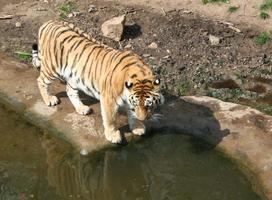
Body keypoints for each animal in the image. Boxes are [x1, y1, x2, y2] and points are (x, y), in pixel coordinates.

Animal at [31, 20, 164, 143]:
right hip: (52, 68)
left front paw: (137, 126)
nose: (143, 119)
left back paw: (81, 108)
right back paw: (49, 99)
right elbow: (110, 119)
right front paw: (113, 135)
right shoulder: (109, 99)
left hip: (74, 76)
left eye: (149, 105)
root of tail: (48, 23)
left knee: (69, 90)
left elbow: (131, 114)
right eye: (138, 104)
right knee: (40, 81)